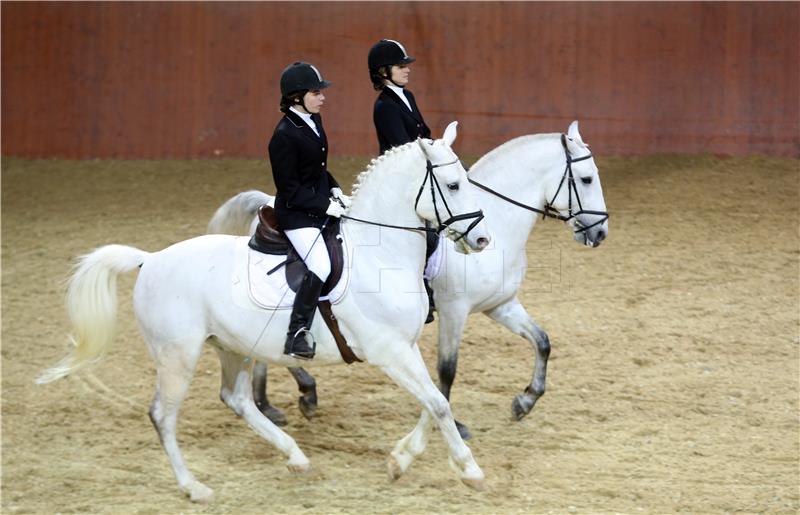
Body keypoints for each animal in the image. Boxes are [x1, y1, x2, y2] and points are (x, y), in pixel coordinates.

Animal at [43, 123, 496, 502]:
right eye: (453, 185)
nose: (482, 239)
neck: (378, 253)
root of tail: (150, 260)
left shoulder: (406, 347)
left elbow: (435, 399)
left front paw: (400, 460)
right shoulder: (389, 351)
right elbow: (437, 404)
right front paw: (470, 470)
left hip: (231, 346)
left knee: (237, 398)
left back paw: (295, 456)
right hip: (177, 357)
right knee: (163, 416)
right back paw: (194, 487)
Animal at [209, 122, 608, 440]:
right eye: (587, 179)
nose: (600, 232)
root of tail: (265, 207)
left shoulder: (499, 305)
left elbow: (542, 342)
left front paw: (525, 401)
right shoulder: (455, 309)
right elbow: (447, 369)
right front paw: (453, 423)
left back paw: (274, 400)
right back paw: (293, 394)